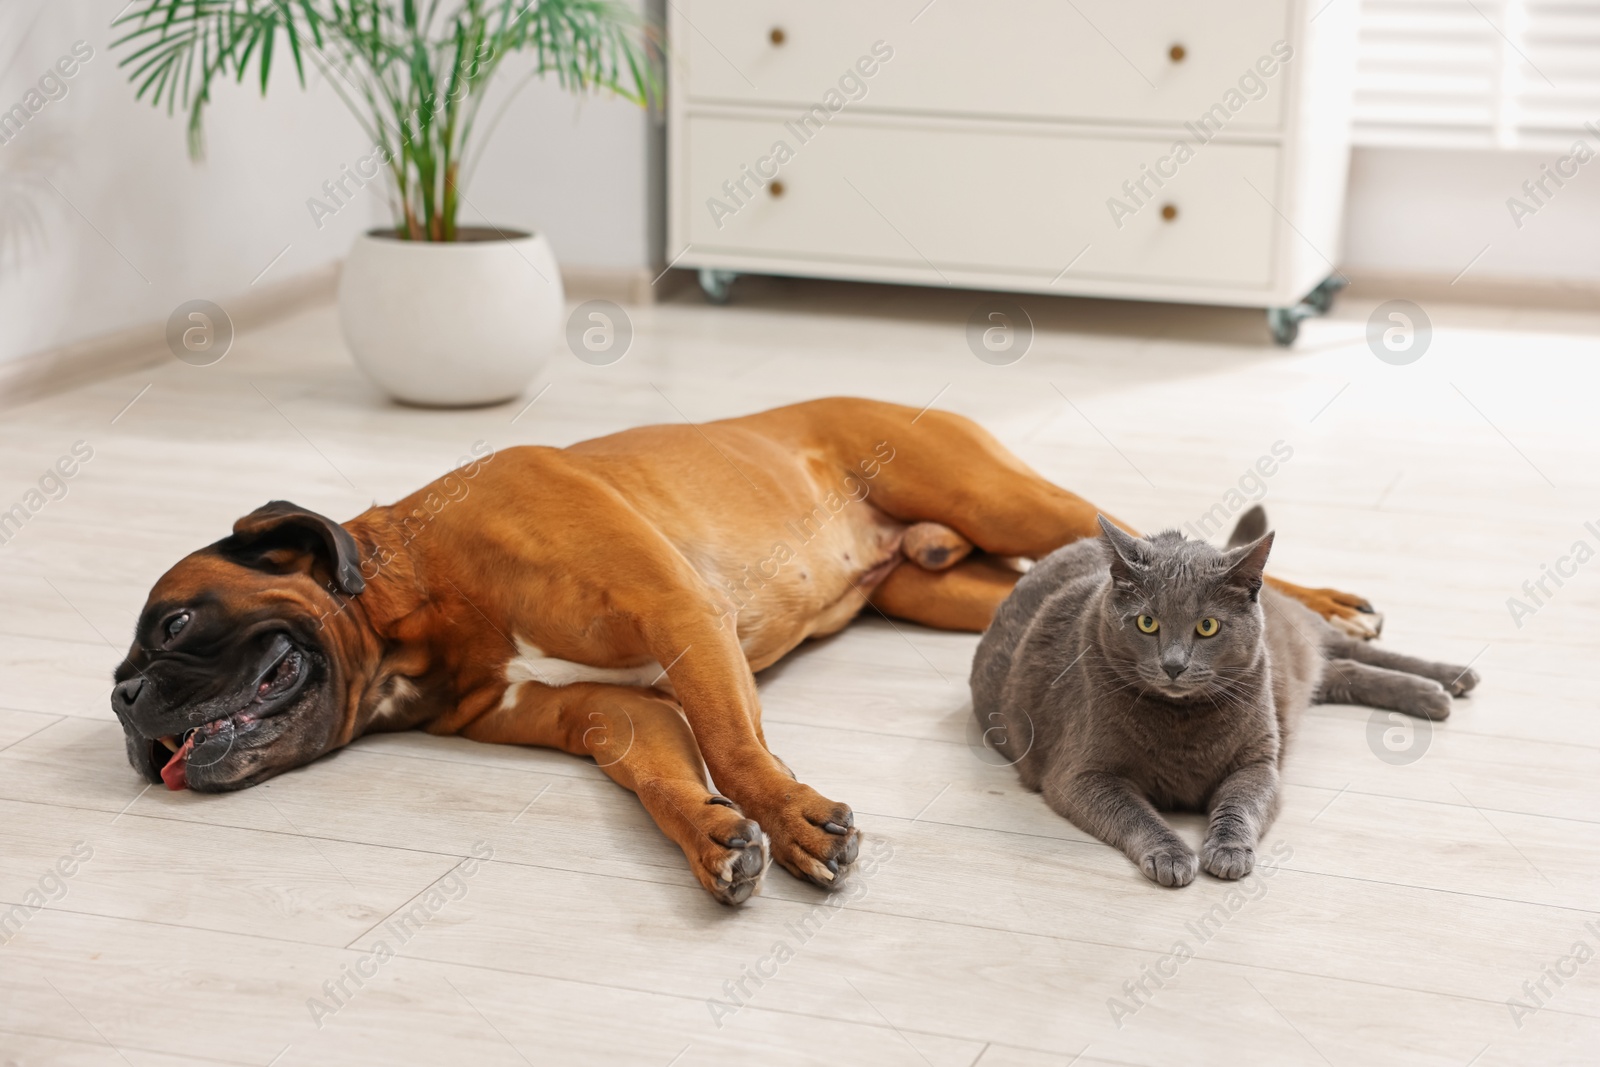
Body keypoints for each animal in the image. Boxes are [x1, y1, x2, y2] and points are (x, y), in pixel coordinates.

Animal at [109, 398, 1376, 902]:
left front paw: (794, 815)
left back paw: (1325, 604)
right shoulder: (618, 713)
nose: (123, 699)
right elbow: (671, 770)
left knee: (1169, 540)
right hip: (946, 592)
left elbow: (730, 737)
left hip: (997, 493)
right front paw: (718, 835)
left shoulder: (677, 613)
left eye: (172, 622)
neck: (416, 594)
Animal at [966, 508, 1478, 883]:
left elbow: (1239, 806)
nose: (1173, 664)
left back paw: (1448, 679)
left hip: (1302, 633)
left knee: (1351, 648)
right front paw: (1172, 855)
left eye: (1207, 626)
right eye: (1147, 622)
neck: (1182, 721)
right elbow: (1135, 813)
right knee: (1344, 670)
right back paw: (1436, 693)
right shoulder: (1081, 774)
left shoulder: (1258, 762)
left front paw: (1229, 852)